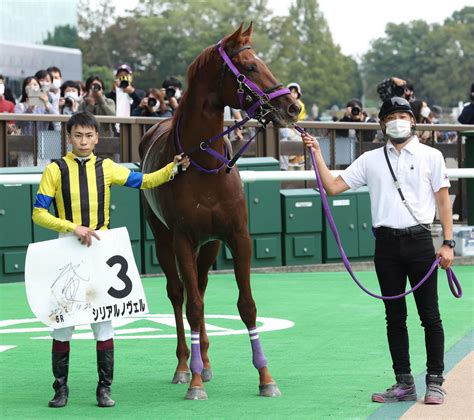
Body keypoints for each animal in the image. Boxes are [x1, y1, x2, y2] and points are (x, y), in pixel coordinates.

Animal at [139, 23, 300, 400]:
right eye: (251, 67)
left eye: (263, 62)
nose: (292, 106)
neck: (204, 165)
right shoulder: (183, 239)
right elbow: (194, 306)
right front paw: (194, 382)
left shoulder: (237, 236)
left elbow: (247, 305)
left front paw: (266, 377)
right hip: (163, 237)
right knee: (179, 294)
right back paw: (186, 366)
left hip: (210, 244)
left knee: (200, 284)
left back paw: (206, 361)